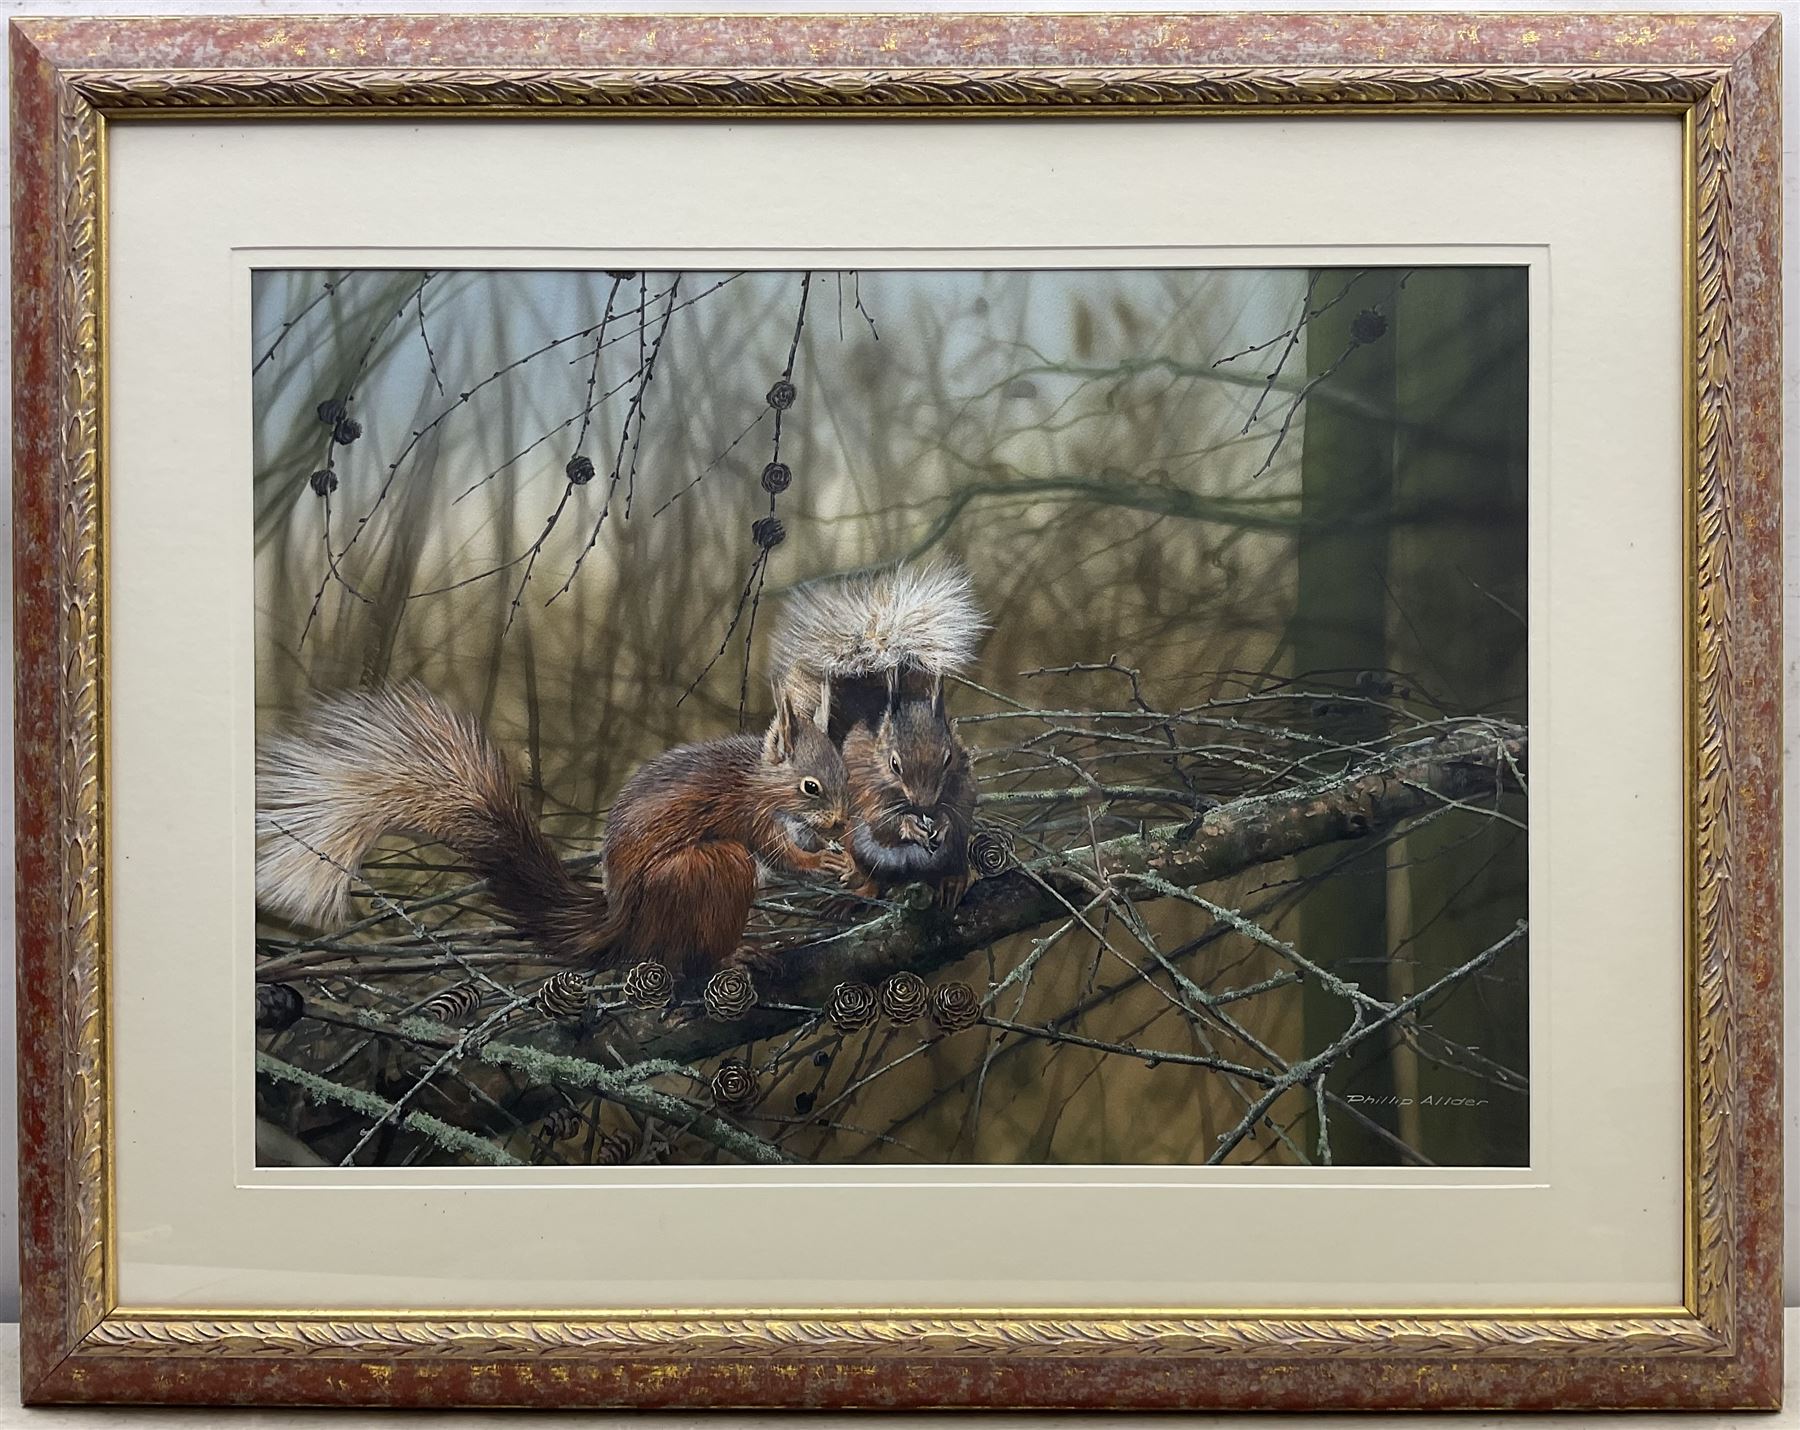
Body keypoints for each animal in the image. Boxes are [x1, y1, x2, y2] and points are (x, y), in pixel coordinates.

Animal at [254, 681, 855, 984]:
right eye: (810, 786)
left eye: (846, 776)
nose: (843, 823)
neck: (759, 778)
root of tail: (624, 925)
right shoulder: (747, 812)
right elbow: (777, 854)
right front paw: (822, 862)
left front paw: (844, 856)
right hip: (707, 870)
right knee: (688, 953)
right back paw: (736, 954)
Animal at [771, 561, 987, 911]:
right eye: (894, 764)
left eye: (949, 758)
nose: (924, 806)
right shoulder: (865, 787)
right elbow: (882, 823)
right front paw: (909, 826)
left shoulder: (962, 782)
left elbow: (959, 810)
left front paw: (941, 822)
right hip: (857, 845)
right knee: (873, 876)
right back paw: (858, 892)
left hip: (951, 856)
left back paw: (954, 882)